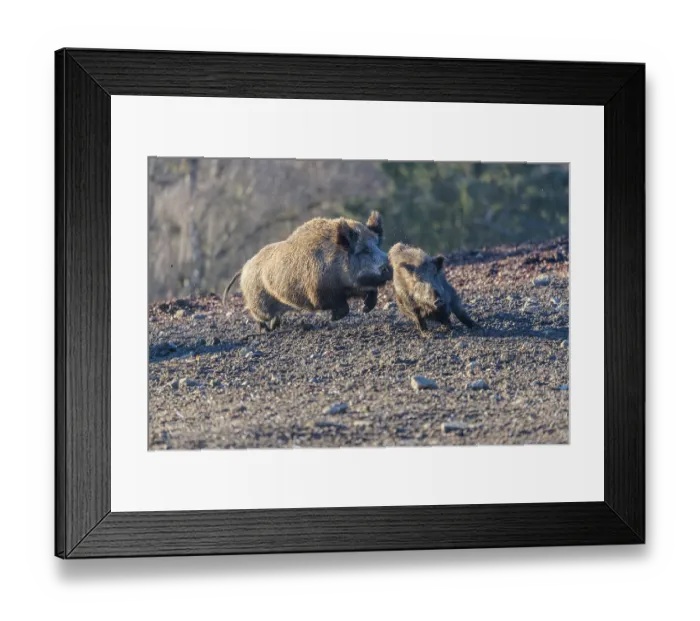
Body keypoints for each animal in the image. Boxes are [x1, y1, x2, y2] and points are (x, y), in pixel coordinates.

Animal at [222, 211, 391, 331]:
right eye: (364, 250)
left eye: (378, 244)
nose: (389, 267)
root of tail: (244, 268)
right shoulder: (318, 294)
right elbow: (342, 306)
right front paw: (333, 319)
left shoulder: (354, 287)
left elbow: (372, 292)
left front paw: (365, 309)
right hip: (258, 302)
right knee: (257, 314)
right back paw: (263, 330)